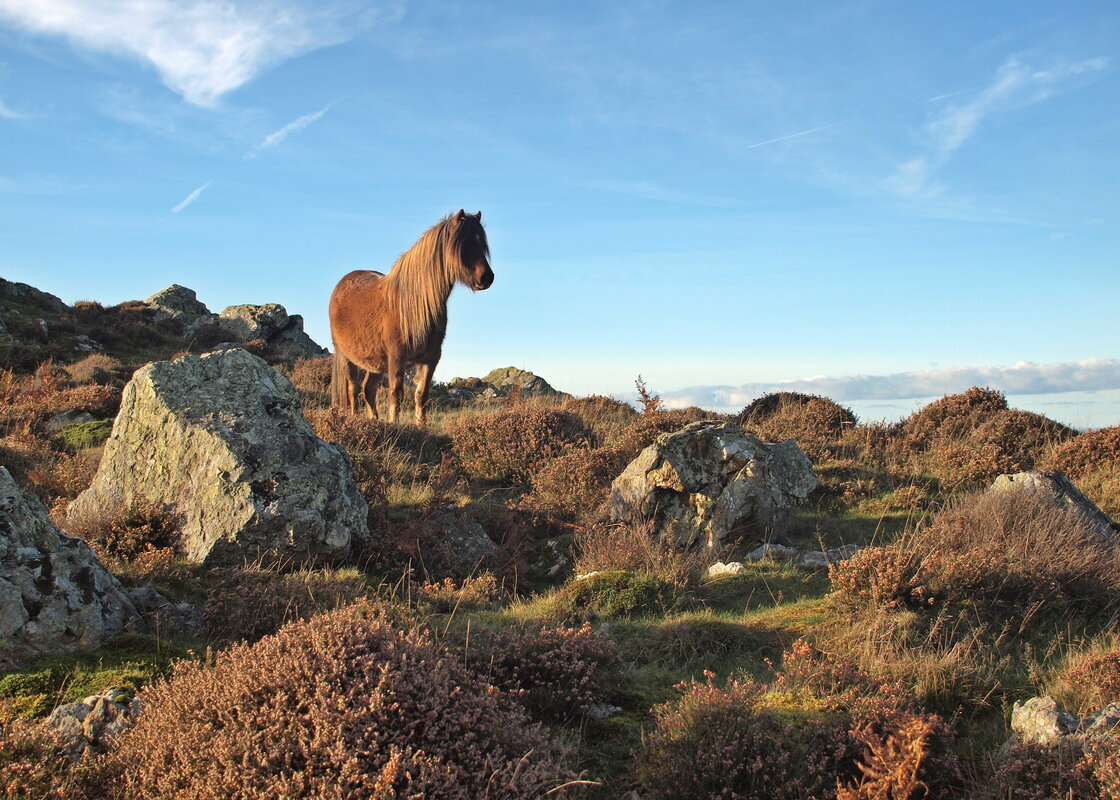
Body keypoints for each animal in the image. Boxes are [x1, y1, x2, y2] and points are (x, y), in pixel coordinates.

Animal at [327, 208, 495, 428]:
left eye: (482, 244)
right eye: (463, 244)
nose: (487, 278)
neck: (413, 304)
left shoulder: (431, 358)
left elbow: (421, 395)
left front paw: (421, 427)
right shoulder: (397, 357)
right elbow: (396, 394)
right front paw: (395, 425)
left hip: (374, 362)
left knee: (368, 389)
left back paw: (374, 422)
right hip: (347, 357)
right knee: (353, 389)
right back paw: (355, 420)